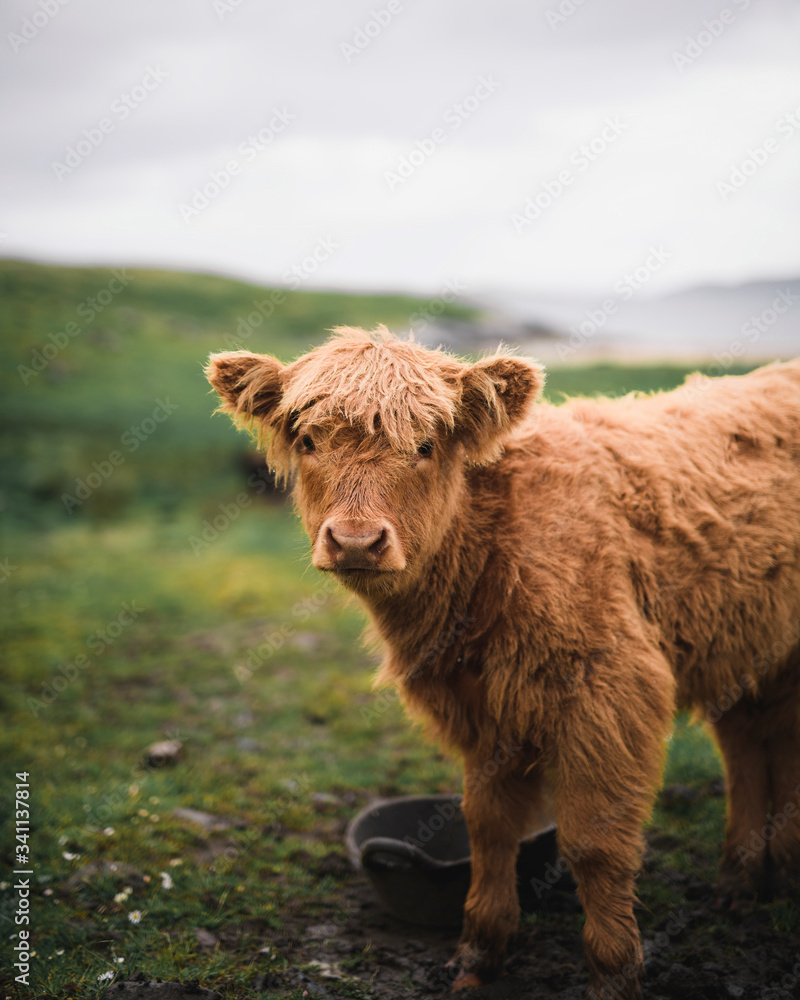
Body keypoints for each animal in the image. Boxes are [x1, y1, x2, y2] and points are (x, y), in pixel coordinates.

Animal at [206, 332, 800, 1000]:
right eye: (308, 441)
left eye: (425, 446)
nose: (356, 541)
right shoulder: (483, 710)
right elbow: (488, 828)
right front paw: (478, 957)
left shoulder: (607, 689)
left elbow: (592, 842)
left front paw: (613, 973)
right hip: (747, 645)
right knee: (751, 742)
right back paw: (745, 881)